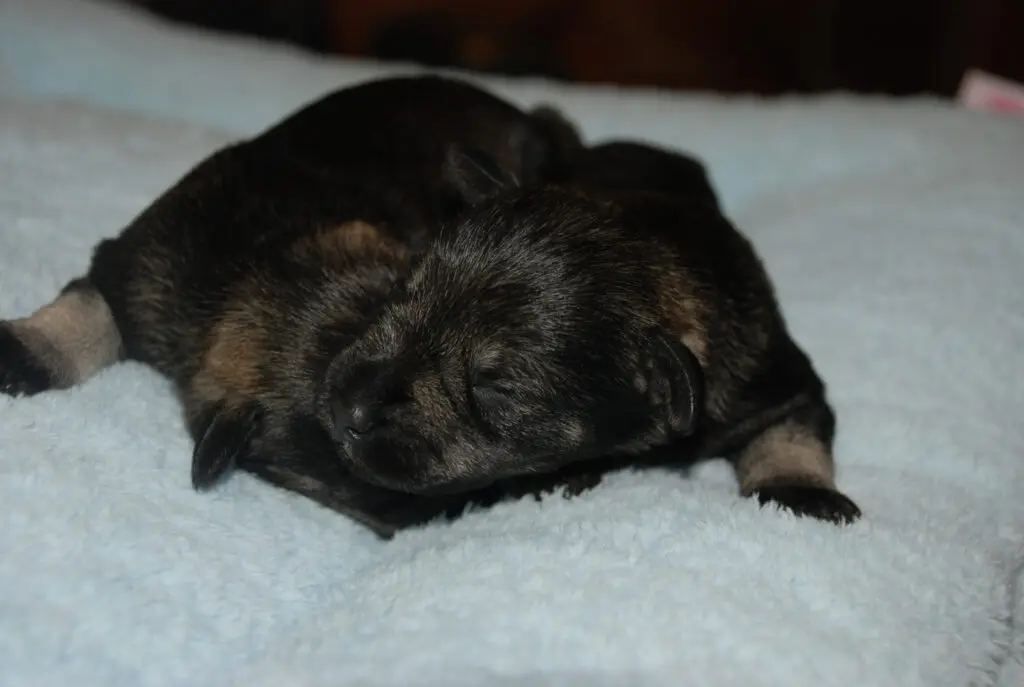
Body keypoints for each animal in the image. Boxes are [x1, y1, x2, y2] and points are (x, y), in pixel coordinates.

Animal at [0, 76, 585, 536]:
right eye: (403, 503)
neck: (245, 272)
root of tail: (530, 118)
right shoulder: (129, 270)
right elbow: (86, 316)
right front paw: (26, 353)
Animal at [323, 139, 860, 528]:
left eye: (497, 390)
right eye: (404, 289)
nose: (347, 407)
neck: (664, 268)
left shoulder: (775, 379)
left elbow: (788, 435)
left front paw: (801, 493)